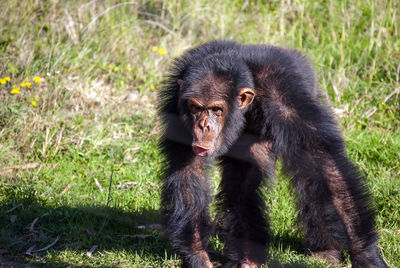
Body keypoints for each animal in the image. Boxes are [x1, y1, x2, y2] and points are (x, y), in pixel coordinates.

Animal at [158, 39, 386, 268]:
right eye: (196, 107)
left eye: (216, 109)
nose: (203, 125)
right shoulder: (177, 103)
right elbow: (189, 168)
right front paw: (198, 256)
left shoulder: (287, 98)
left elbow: (322, 159)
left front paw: (365, 254)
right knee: (240, 188)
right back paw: (248, 257)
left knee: (308, 178)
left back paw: (324, 251)